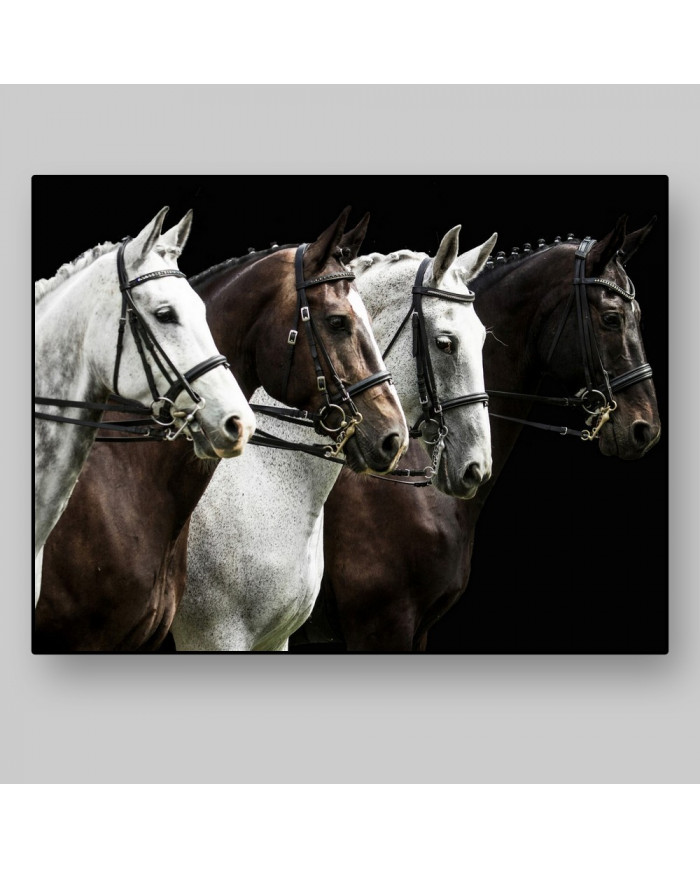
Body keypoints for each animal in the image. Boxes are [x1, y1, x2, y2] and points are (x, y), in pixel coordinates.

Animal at [172, 224, 497, 650]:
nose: (477, 466)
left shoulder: (276, 638)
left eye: (482, 340)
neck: (266, 478)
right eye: (446, 342)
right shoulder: (214, 636)